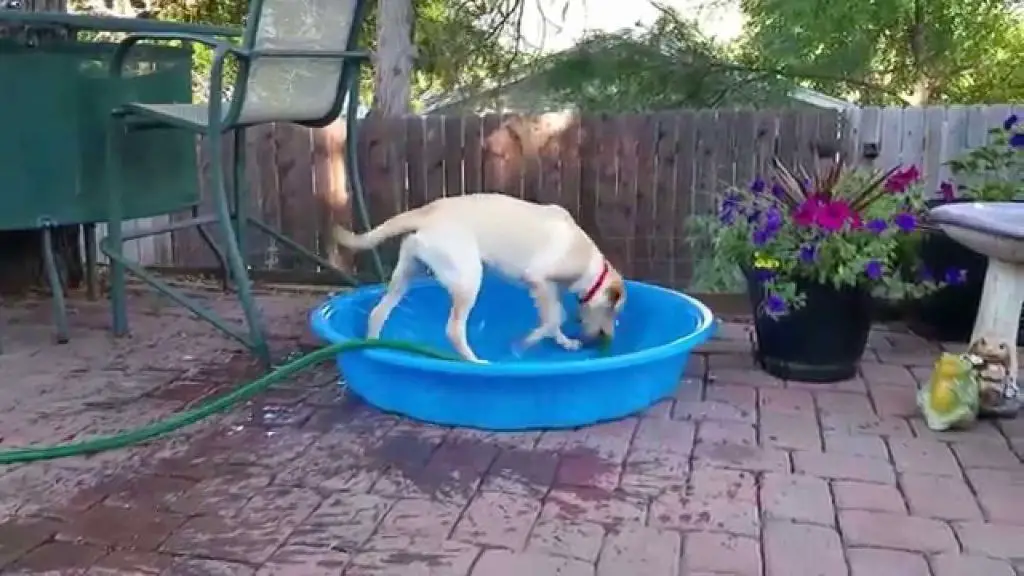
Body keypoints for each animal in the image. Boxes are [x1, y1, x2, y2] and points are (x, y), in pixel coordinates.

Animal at [333, 193, 622, 362]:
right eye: (612, 311)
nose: (605, 339)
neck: (593, 267)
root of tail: (430, 211)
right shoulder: (538, 279)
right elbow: (553, 319)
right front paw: (524, 344)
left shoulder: (547, 292)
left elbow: (554, 319)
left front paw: (563, 341)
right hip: (468, 279)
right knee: (453, 330)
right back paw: (474, 361)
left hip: (406, 274)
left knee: (377, 312)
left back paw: (374, 347)